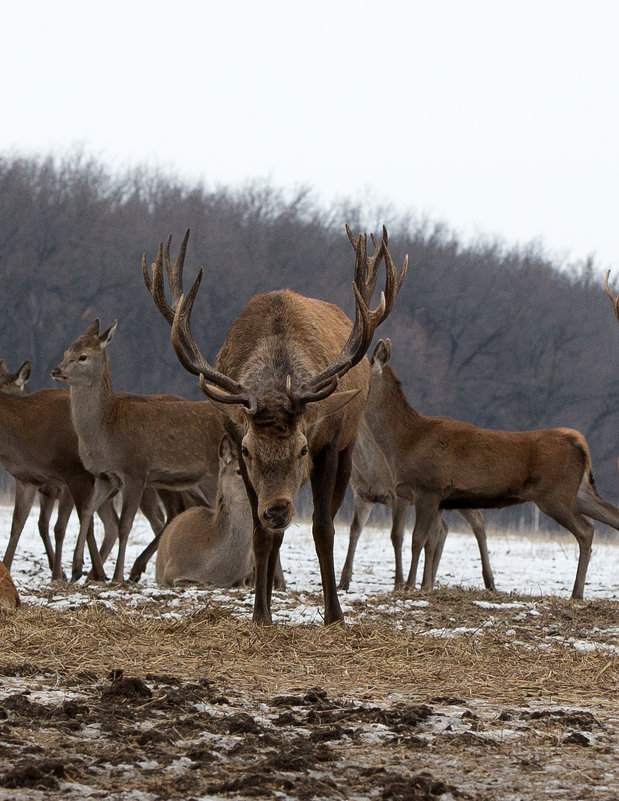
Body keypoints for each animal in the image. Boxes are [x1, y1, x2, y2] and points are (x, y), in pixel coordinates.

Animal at [50, 322, 226, 584]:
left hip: (215, 471)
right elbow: (87, 511)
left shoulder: (135, 471)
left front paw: (117, 577)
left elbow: (125, 524)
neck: (106, 434)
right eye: (66, 351)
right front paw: (77, 568)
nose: (56, 370)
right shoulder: (105, 476)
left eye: (83, 356)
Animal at [364, 334, 619, 596]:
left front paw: (409, 586)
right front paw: (425, 586)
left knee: (586, 530)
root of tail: (581, 443)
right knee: (612, 517)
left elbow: (418, 539)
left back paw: (576, 593)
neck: (405, 443)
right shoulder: (439, 498)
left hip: (555, 495)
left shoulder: (428, 487)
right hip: (580, 492)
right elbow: (432, 541)